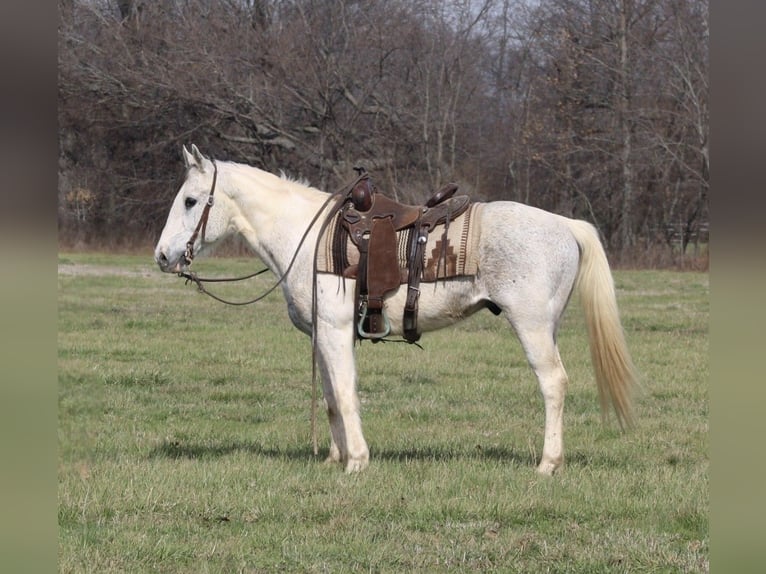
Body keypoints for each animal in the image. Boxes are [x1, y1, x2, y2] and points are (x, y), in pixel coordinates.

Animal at [154, 144, 637, 475]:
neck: (308, 238)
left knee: (553, 383)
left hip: (532, 326)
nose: (162, 256)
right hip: (547, 326)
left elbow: (345, 393)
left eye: (191, 201)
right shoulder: (323, 336)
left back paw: (548, 464)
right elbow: (330, 398)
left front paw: (356, 461)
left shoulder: (335, 330)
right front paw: (335, 458)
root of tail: (565, 225)